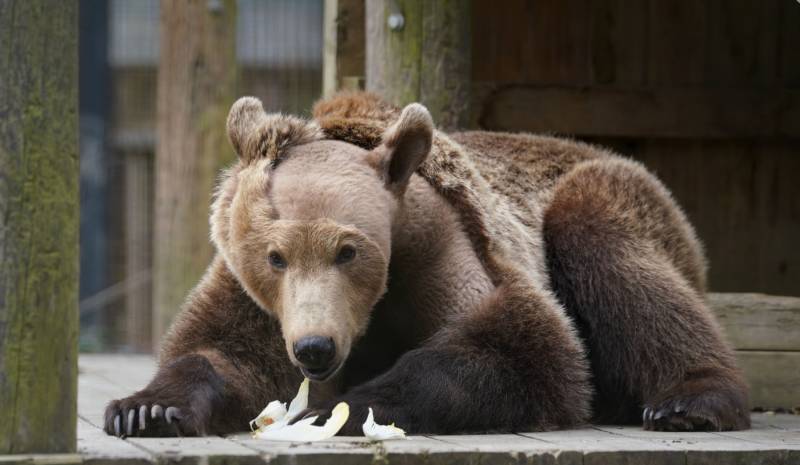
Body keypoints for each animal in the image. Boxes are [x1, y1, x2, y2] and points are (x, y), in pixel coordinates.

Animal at [104, 92, 750, 438]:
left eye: (348, 250)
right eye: (275, 256)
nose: (315, 349)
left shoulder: (449, 254)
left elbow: (521, 348)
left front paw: (340, 409)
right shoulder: (255, 295)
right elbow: (222, 351)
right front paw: (146, 408)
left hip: (608, 199)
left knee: (620, 266)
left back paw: (688, 402)